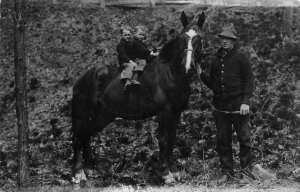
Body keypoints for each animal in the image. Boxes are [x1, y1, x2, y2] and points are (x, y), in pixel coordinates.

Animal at [71, 10, 205, 184]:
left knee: (87, 135)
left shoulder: (176, 112)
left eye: (199, 38)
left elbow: (172, 139)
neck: (170, 73)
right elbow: (163, 140)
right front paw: (165, 174)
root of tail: (82, 79)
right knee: (78, 137)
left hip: (102, 116)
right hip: (83, 114)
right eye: (182, 38)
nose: (188, 67)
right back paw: (78, 173)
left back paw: (89, 169)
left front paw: (175, 171)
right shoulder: (164, 112)